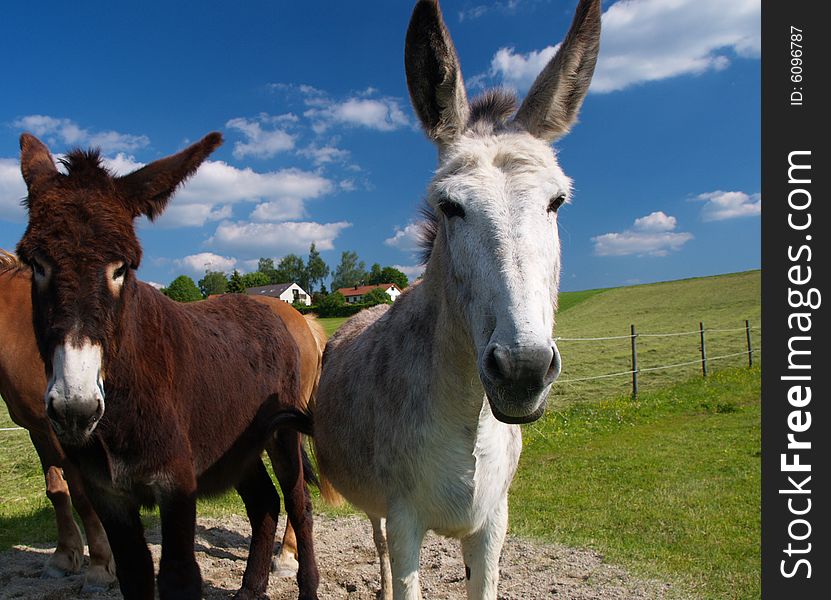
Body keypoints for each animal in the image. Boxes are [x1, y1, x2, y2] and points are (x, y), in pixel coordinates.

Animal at [0, 247, 324, 584]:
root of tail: (301, 320)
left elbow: (78, 495)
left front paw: (99, 564)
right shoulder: (40, 430)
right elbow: (57, 490)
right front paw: (64, 556)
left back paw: (286, 557)